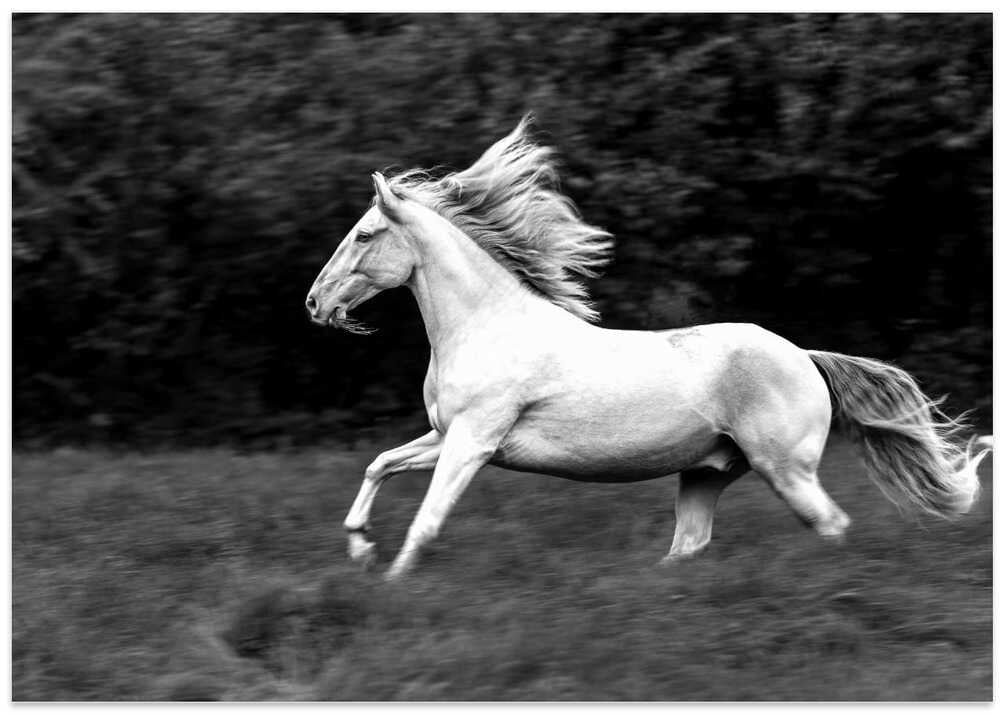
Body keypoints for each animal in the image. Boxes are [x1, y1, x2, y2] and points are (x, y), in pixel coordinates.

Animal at [306, 117, 990, 580]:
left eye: (365, 234)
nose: (314, 304)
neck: (488, 327)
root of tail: (806, 358)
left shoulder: (474, 442)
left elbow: (426, 521)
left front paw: (392, 583)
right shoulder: (448, 436)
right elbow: (379, 464)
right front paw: (360, 547)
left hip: (785, 469)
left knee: (830, 525)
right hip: (706, 473)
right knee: (689, 546)